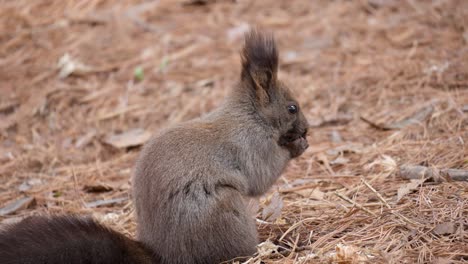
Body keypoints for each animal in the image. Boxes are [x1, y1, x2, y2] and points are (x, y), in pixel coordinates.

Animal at [0, 29, 308, 264]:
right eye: (292, 108)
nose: (307, 128)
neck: (251, 116)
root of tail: (162, 255)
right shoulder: (249, 145)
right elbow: (261, 175)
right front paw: (297, 147)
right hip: (223, 212)